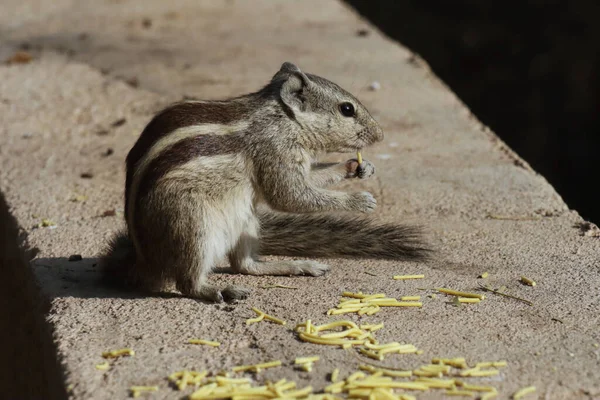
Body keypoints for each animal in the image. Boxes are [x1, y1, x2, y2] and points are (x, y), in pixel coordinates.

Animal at [103, 61, 432, 304]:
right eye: (347, 109)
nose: (380, 135)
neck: (283, 119)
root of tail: (144, 261)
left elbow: (310, 179)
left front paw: (357, 166)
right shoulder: (274, 151)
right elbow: (289, 195)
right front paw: (358, 200)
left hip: (245, 220)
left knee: (245, 266)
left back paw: (296, 265)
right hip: (191, 224)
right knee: (188, 281)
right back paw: (219, 290)